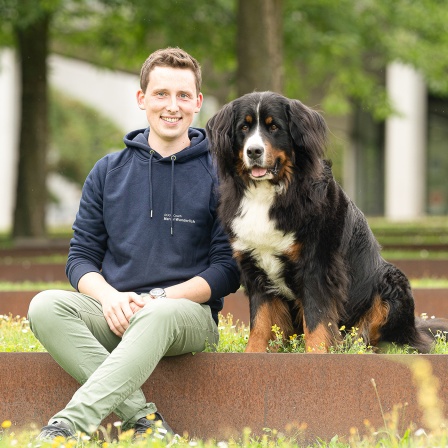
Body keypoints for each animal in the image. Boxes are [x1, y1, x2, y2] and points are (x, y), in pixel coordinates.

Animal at [206, 90, 448, 354]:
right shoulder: (253, 266)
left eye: (274, 127)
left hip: (391, 281)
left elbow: (317, 318)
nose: (253, 151)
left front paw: (317, 353)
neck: (269, 193)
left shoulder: (317, 264)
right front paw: (254, 353)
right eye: (244, 127)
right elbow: (260, 321)